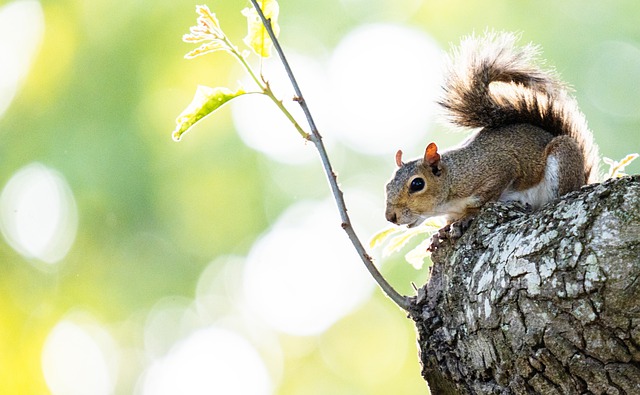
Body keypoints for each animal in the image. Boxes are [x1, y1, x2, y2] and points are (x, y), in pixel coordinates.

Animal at [384, 31, 600, 241]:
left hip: (563, 157)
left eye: (417, 184)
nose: (390, 217)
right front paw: (442, 231)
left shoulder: (499, 168)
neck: (454, 179)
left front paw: (468, 216)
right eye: (387, 186)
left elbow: (486, 197)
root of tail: (582, 177)